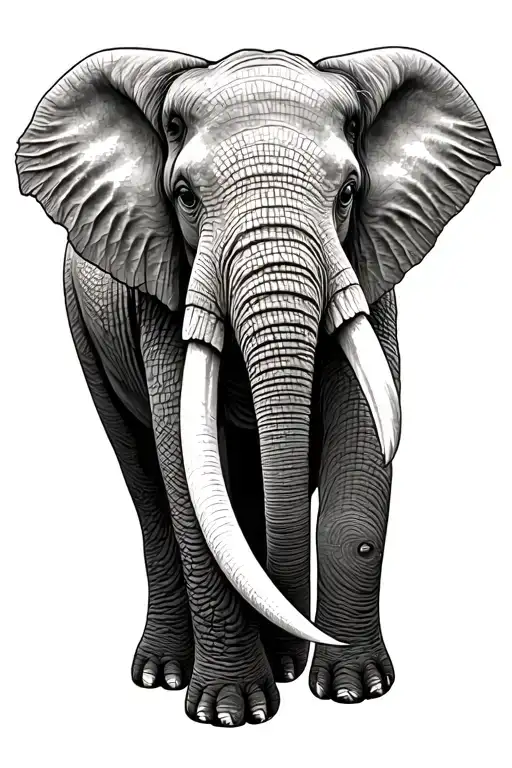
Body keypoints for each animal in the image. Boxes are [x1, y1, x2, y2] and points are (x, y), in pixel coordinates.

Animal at [16, 46, 499, 727]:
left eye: (349, 194)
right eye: (184, 198)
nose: (297, 659)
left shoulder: (371, 268)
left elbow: (358, 452)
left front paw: (354, 691)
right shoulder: (160, 286)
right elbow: (188, 476)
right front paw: (229, 714)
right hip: (82, 324)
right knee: (146, 482)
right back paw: (166, 674)